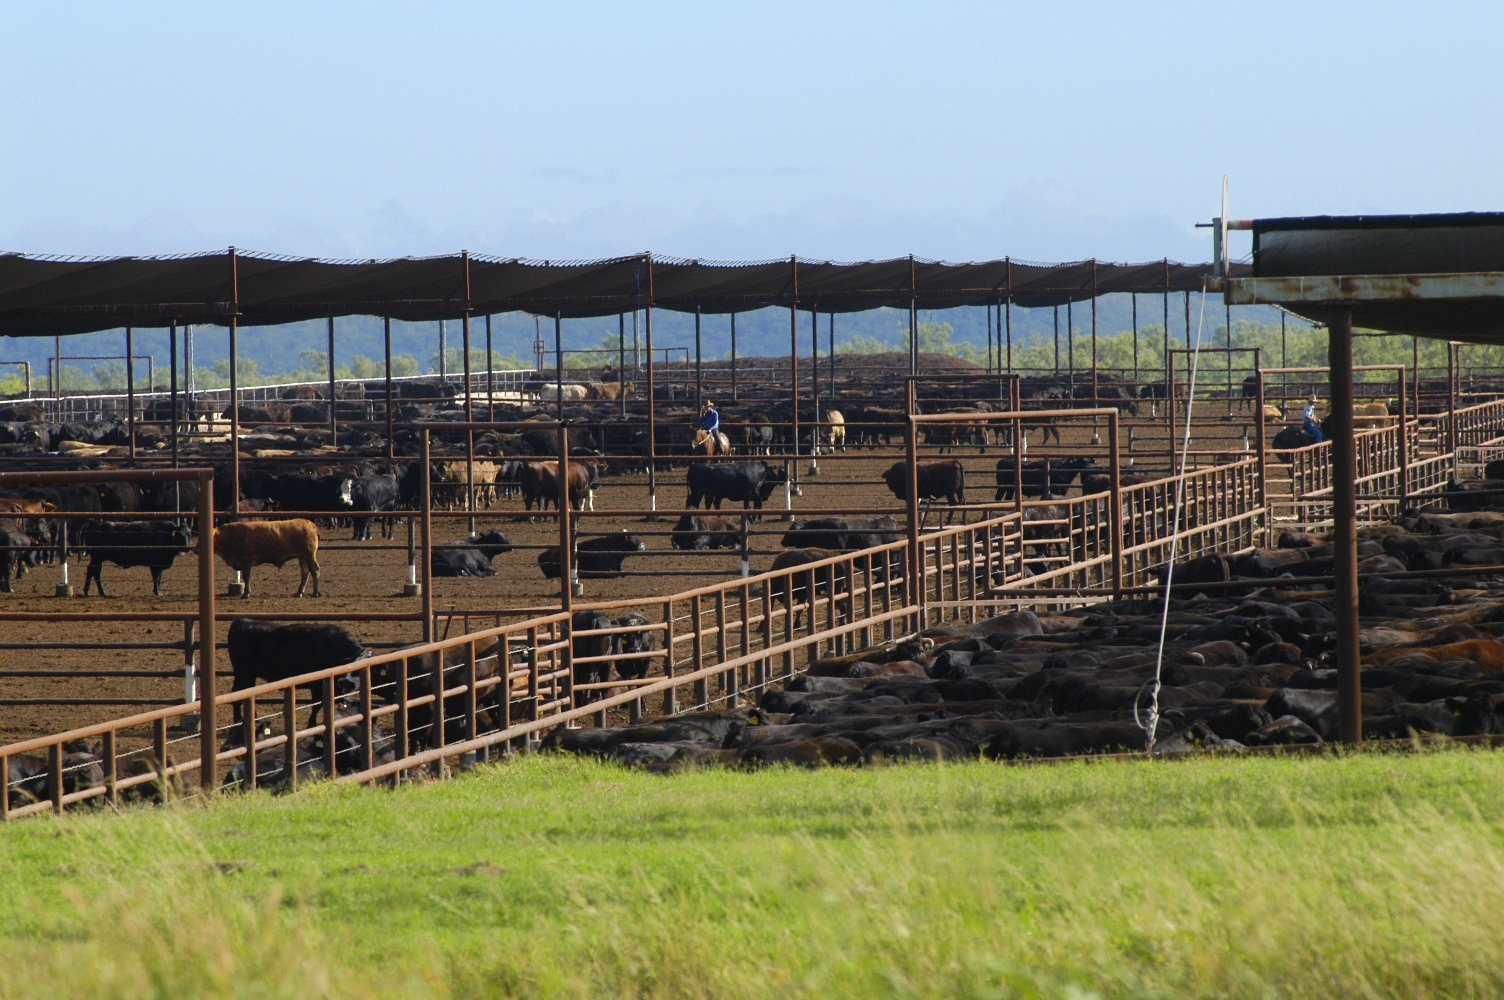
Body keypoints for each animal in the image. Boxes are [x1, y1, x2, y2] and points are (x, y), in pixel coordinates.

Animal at [225, 616, 366, 724]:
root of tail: (241, 620)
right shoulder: (317, 685)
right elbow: (316, 705)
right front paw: (312, 724)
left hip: (241, 674)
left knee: (237, 693)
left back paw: (239, 721)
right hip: (246, 675)